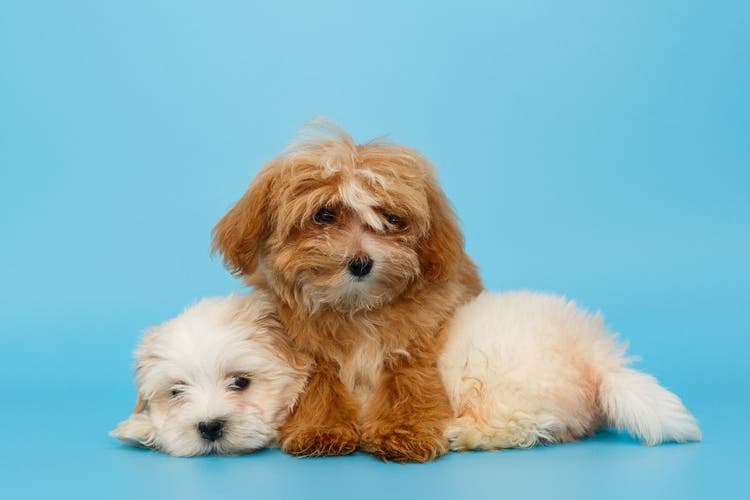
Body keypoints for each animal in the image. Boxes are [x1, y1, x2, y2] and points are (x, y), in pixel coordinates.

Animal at [113, 290, 704, 458]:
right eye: (176, 392)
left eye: (240, 382)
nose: (209, 428)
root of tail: (593, 351)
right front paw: (143, 427)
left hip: (493, 374)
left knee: (520, 425)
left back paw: (461, 432)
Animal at [213, 120, 482, 460]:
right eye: (324, 215)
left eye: (391, 218)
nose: (361, 263)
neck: (357, 308)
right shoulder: (309, 350)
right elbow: (319, 386)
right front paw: (321, 429)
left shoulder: (416, 341)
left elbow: (409, 381)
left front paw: (405, 431)